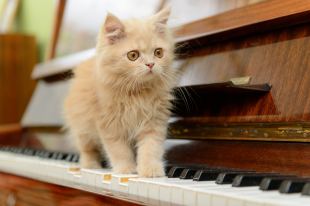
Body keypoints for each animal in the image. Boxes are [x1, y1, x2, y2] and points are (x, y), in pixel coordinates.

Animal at [63, 8, 176, 177]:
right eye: (133, 55)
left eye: (158, 53)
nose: (151, 64)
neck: (137, 93)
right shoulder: (109, 126)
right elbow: (119, 151)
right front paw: (126, 170)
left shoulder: (154, 122)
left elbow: (150, 148)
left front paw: (150, 170)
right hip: (82, 129)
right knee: (88, 150)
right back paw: (91, 165)